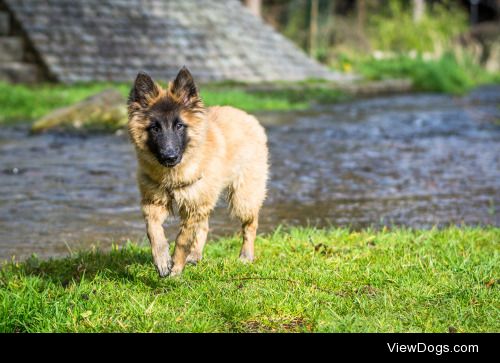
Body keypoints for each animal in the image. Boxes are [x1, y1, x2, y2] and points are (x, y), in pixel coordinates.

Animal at [129, 68, 270, 278]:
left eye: (179, 126)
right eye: (155, 128)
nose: (169, 157)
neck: (173, 176)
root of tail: (247, 117)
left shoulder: (192, 206)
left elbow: (182, 240)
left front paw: (175, 271)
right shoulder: (154, 202)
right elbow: (153, 231)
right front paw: (162, 260)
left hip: (243, 197)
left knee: (250, 225)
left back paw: (245, 256)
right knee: (204, 226)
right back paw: (195, 255)